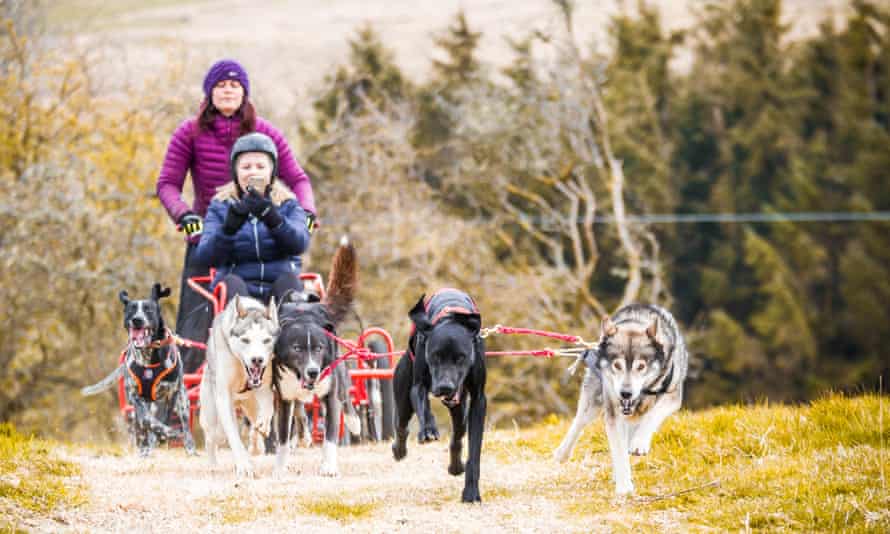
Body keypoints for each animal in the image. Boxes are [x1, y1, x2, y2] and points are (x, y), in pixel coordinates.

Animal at [200, 298, 278, 478]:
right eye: (245, 340)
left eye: (266, 340)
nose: (257, 360)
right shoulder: (223, 397)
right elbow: (233, 437)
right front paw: (244, 466)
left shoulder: (264, 386)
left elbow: (267, 408)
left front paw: (262, 428)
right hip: (212, 414)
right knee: (214, 437)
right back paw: (213, 465)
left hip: (251, 405)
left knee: (254, 422)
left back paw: (257, 444)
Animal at [390, 288, 486, 502]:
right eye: (435, 356)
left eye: (461, 357)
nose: (444, 387)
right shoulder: (418, 385)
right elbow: (424, 406)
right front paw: (428, 430)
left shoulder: (478, 399)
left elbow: (474, 452)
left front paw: (471, 491)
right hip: (403, 394)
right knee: (401, 425)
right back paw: (399, 450)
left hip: (459, 408)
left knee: (458, 434)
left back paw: (455, 466)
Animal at [552, 304, 692, 496]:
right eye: (617, 365)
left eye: (641, 366)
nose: (625, 393)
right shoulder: (613, 413)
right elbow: (618, 450)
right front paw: (624, 485)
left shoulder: (671, 397)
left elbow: (651, 418)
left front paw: (639, 443)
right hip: (593, 403)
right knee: (579, 422)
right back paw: (563, 453)